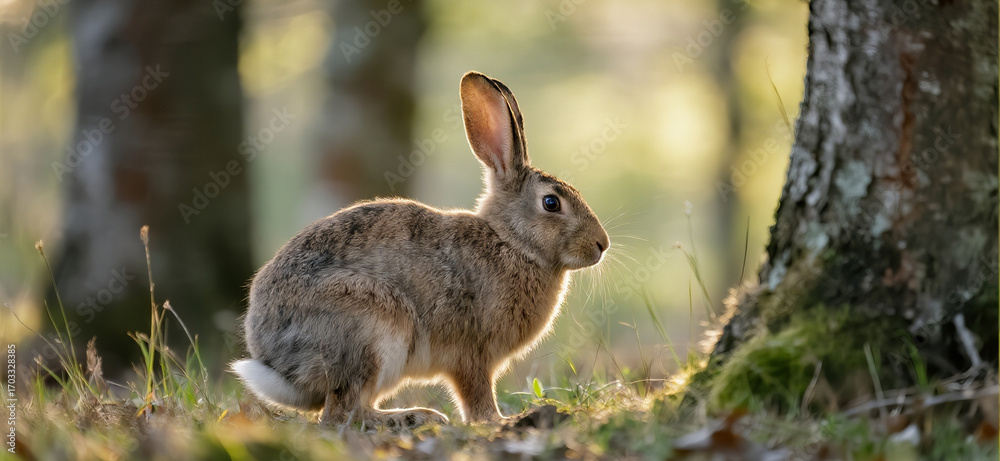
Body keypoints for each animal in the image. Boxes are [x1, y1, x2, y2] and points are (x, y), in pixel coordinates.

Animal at [232, 71, 610, 429]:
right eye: (551, 203)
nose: (601, 245)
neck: (510, 242)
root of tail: (275, 361)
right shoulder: (471, 354)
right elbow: (476, 393)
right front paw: (495, 421)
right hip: (373, 323)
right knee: (343, 413)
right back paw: (415, 417)